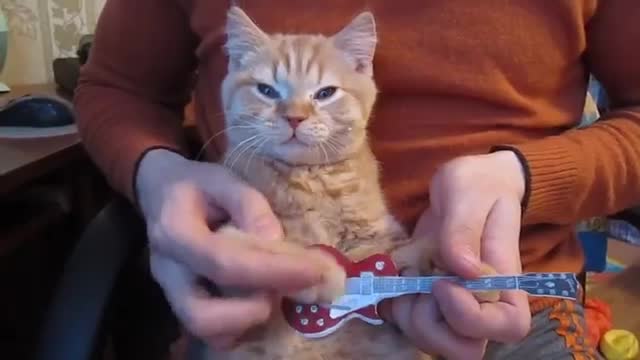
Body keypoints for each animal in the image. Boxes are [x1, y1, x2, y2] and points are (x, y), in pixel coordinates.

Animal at [205, 5, 436, 360]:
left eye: (325, 93)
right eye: (267, 90)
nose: (295, 117)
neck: (310, 180)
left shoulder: (377, 235)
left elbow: (397, 256)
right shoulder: (228, 251)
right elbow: (274, 253)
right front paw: (321, 273)